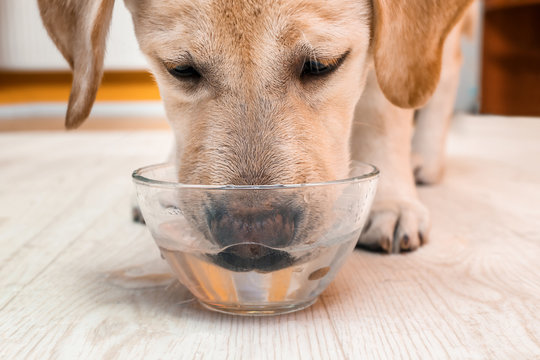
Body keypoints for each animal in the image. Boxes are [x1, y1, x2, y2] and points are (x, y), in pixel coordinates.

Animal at [38, 0, 476, 256]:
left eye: (323, 65)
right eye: (180, 69)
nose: (253, 233)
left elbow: (385, 108)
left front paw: (391, 202)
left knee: (441, 65)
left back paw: (424, 160)